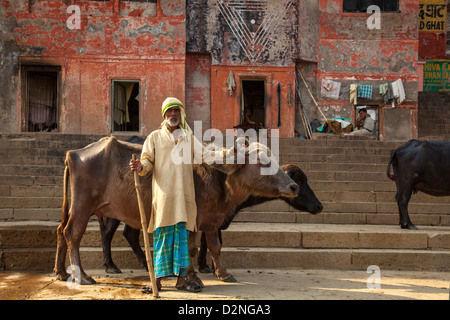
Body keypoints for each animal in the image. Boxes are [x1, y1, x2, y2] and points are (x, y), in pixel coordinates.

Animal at [54, 136, 298, 284]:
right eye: (263, 162)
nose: (293, 186)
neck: (219, 177)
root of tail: (73, 154)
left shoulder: (206, 221)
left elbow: (206, 248)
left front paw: (219, 274)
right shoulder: (200, 221)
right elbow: (198, 248)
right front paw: (197, 276)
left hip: (73, 208)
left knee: (60, 232)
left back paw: (62, 272)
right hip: (82, 207)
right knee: (72, 234)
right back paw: (82, 277)